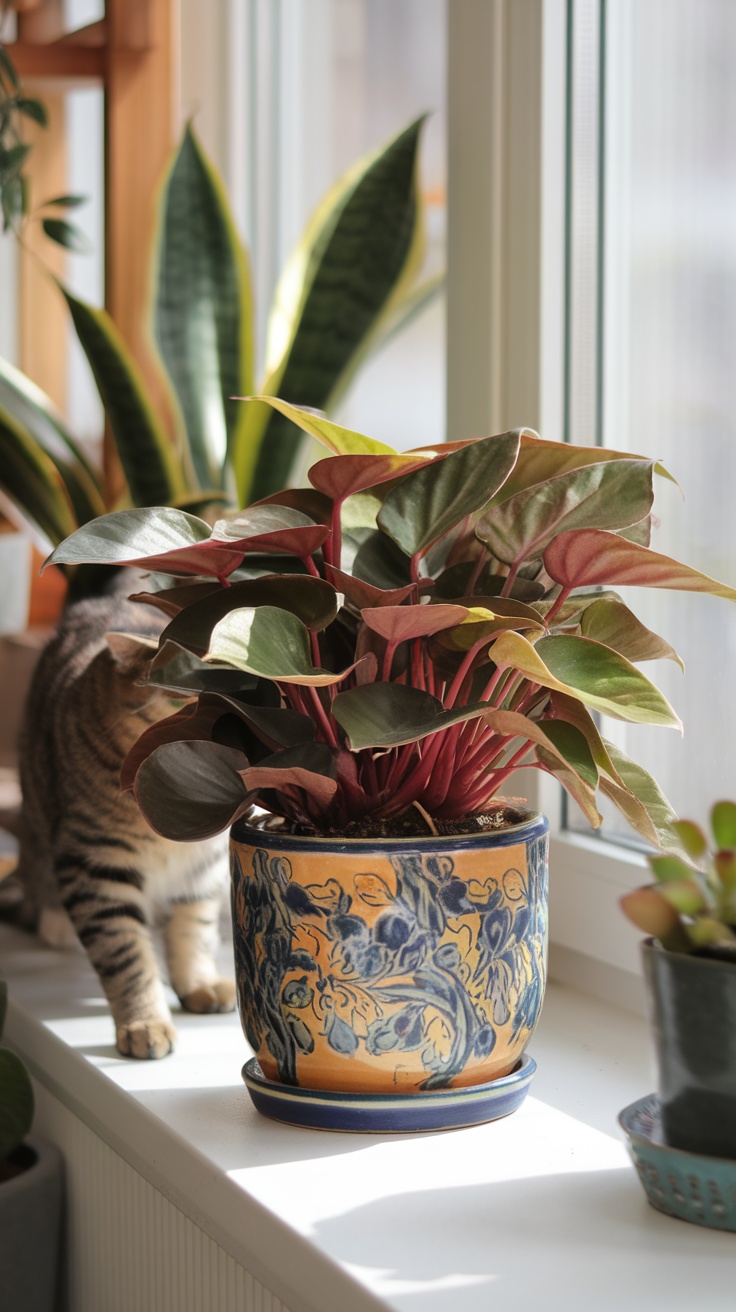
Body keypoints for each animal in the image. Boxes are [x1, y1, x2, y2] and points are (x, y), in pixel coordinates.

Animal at [13, 590, 234, 1060]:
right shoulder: (95, 864)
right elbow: (125, 953)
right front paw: (145, 1023)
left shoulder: (203, 867)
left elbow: (193, 929)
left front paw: (199, 984)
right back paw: (55, 922)